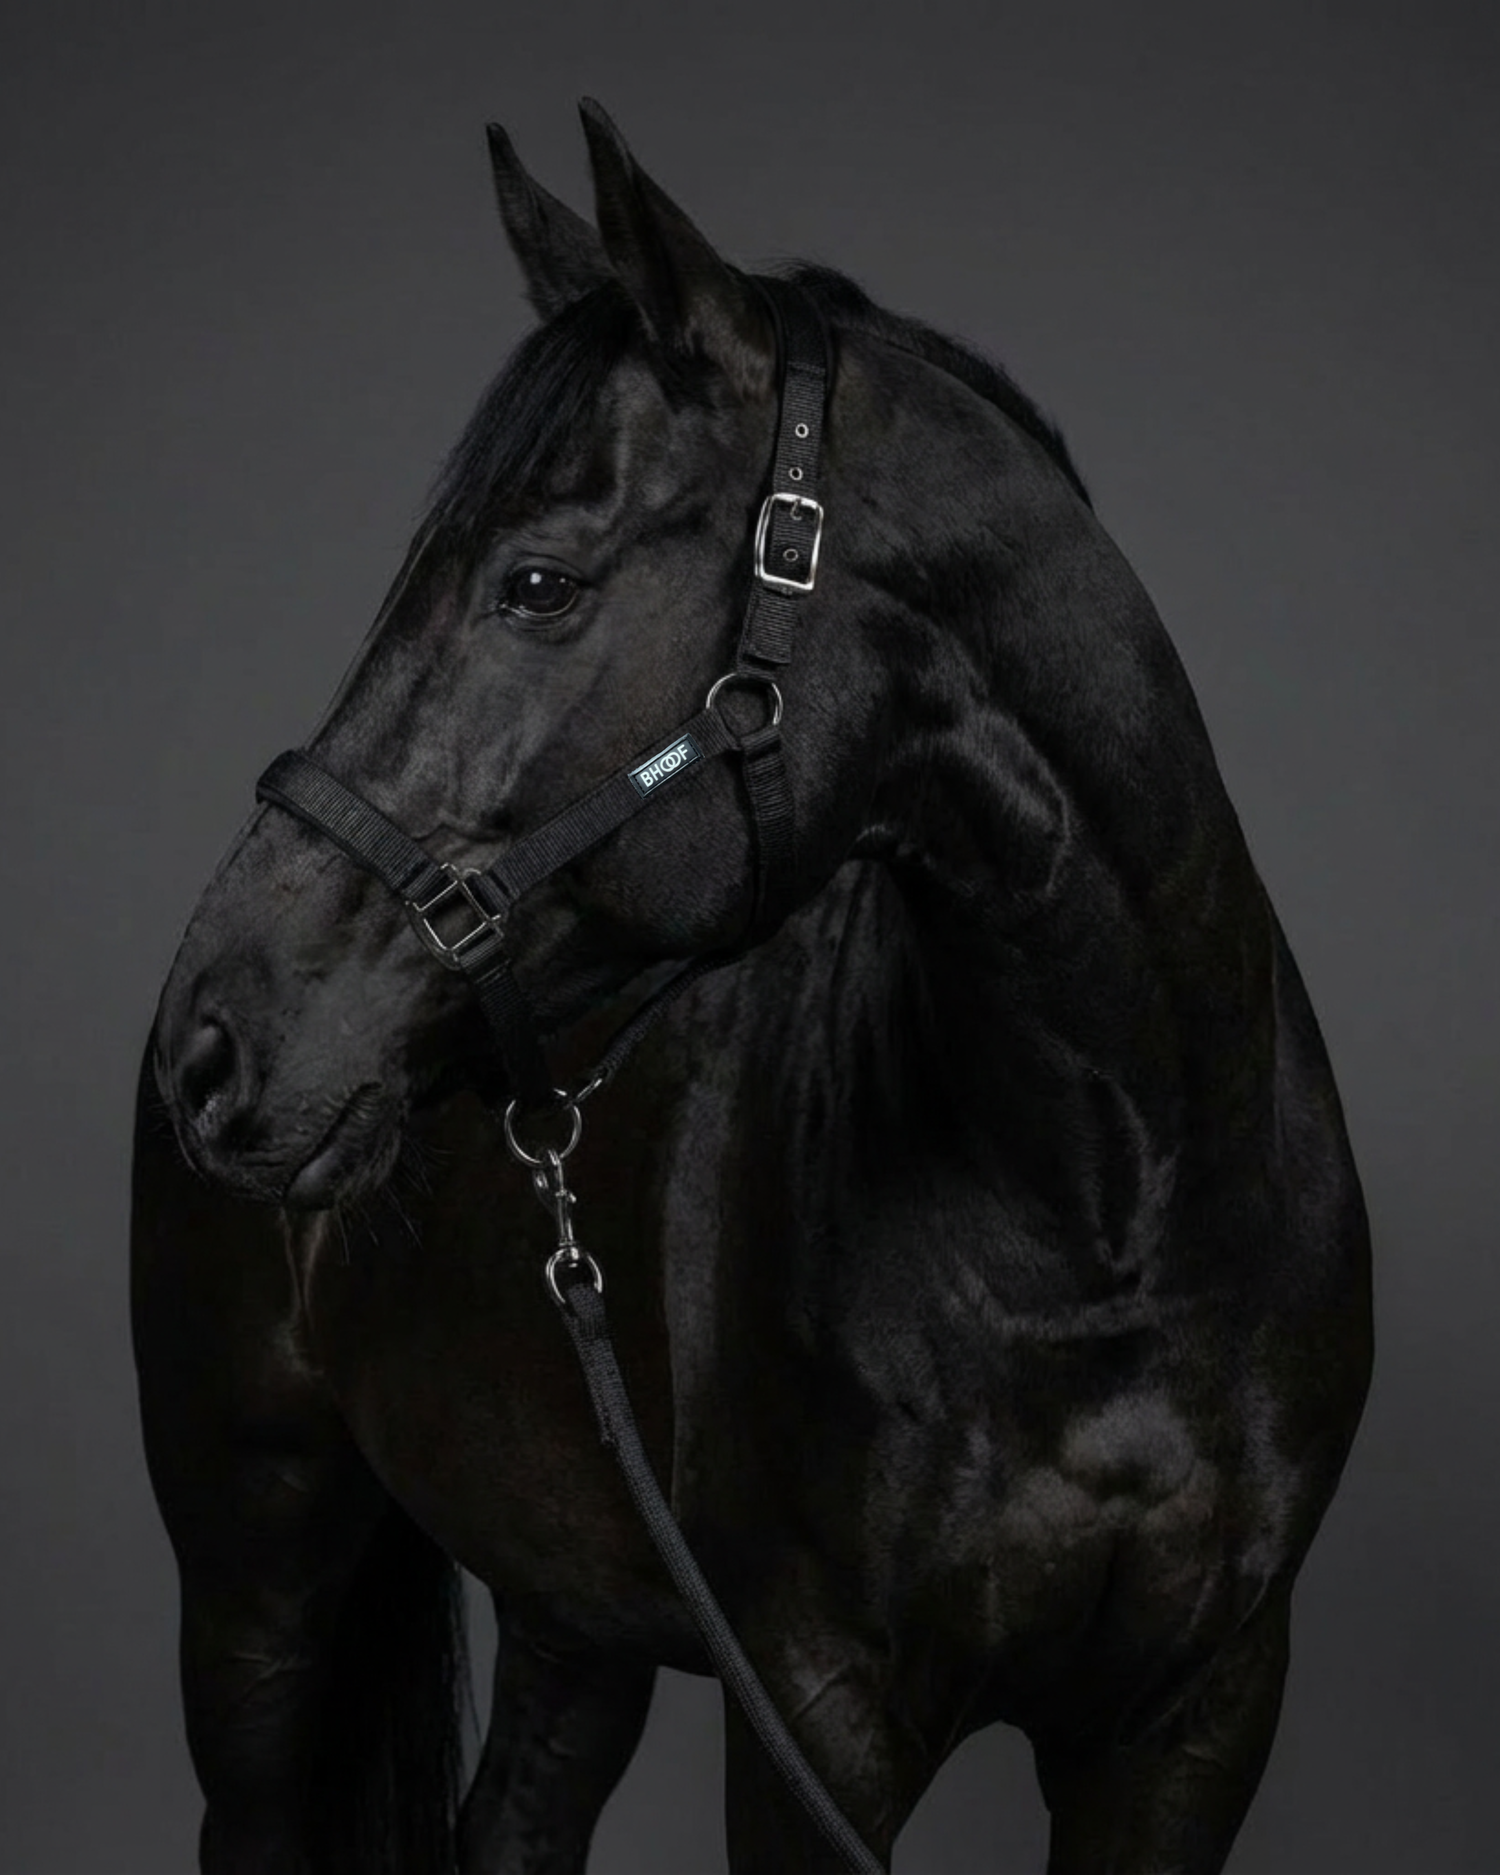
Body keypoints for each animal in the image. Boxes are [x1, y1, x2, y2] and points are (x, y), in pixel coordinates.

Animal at [133, 99, 1372, 1875]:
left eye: (536, 583)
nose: (213, 1040)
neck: (1113, 1206)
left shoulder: (1198, 1714)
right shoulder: (816, 1713)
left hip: (568, 1586)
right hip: (257, 1559)